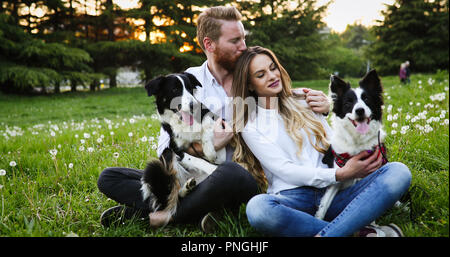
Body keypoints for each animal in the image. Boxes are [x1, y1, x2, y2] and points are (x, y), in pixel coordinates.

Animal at [142, 72, 225, 224]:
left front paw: (210, 151)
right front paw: (213, 168)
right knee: (176, 190)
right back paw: (186, 188)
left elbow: (207, 128)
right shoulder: (174, 148)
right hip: (167, 154)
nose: (193, 105)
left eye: (190, 88)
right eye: (175, 90)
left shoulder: (214, 119)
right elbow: (196, 160)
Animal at [314, 69, 388, 219]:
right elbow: (323, 206)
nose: (359, 110)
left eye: (366, 99)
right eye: (349, 102)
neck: (357, 140)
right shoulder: (338, 176)